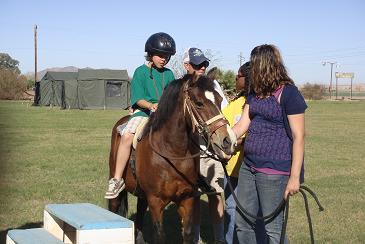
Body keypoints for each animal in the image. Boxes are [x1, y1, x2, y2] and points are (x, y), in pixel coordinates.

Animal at [107, 71, 236, 243]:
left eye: (220, 100)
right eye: (199, 103)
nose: (228, 140)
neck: (172, 153)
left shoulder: (187, 199)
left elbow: (187, 233)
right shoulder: (156, 201)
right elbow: (160, 235)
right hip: (118, 189)